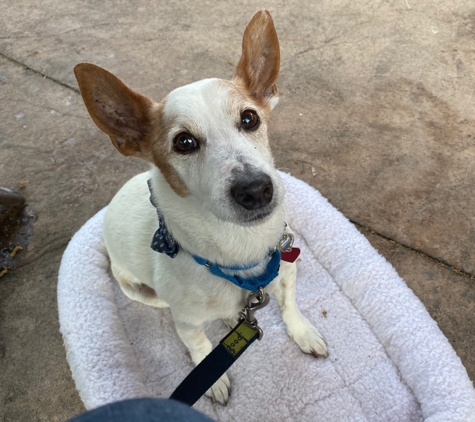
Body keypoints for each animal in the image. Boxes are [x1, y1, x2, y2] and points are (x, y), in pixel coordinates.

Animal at [74, 9, 328, 406]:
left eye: (250, 118)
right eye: (184, 142)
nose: (255, 190)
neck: (239, 248)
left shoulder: (287, 271)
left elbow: (289, 306)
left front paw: (302, 331)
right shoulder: (187, 322)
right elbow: (200, 348)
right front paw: (214, 379)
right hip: (142, 292)